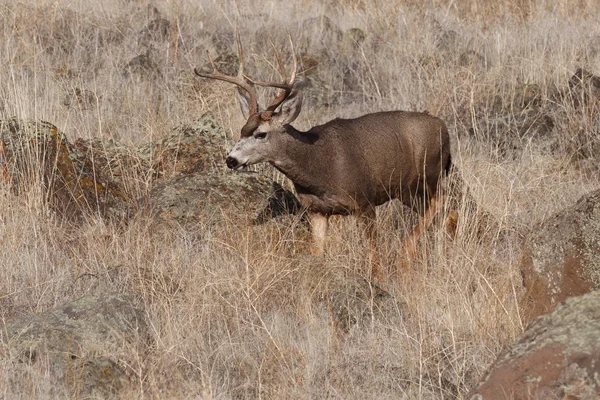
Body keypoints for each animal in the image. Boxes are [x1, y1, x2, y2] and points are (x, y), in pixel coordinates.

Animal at [195, 34, 452, 284]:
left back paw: (407, 253)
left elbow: (374, 255)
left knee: (442, 201)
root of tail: (443, 127)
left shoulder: (364, 202)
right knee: (448, 213)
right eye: (241, 131)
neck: (318, 167)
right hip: (408, 192)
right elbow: (317, 253)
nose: (231, 160)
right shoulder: (316, 210)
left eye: (261, 134)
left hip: (425, 177)